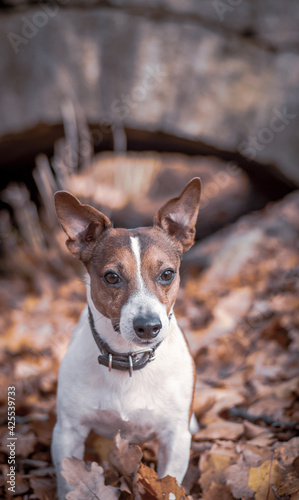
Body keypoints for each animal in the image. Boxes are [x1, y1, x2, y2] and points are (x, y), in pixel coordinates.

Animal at [51, 178, 202, 498]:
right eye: (111, 277)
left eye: (167, 274)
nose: (148, 326)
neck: (129, 359)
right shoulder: (68, 432)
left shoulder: (174, 438)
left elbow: (169, 484)